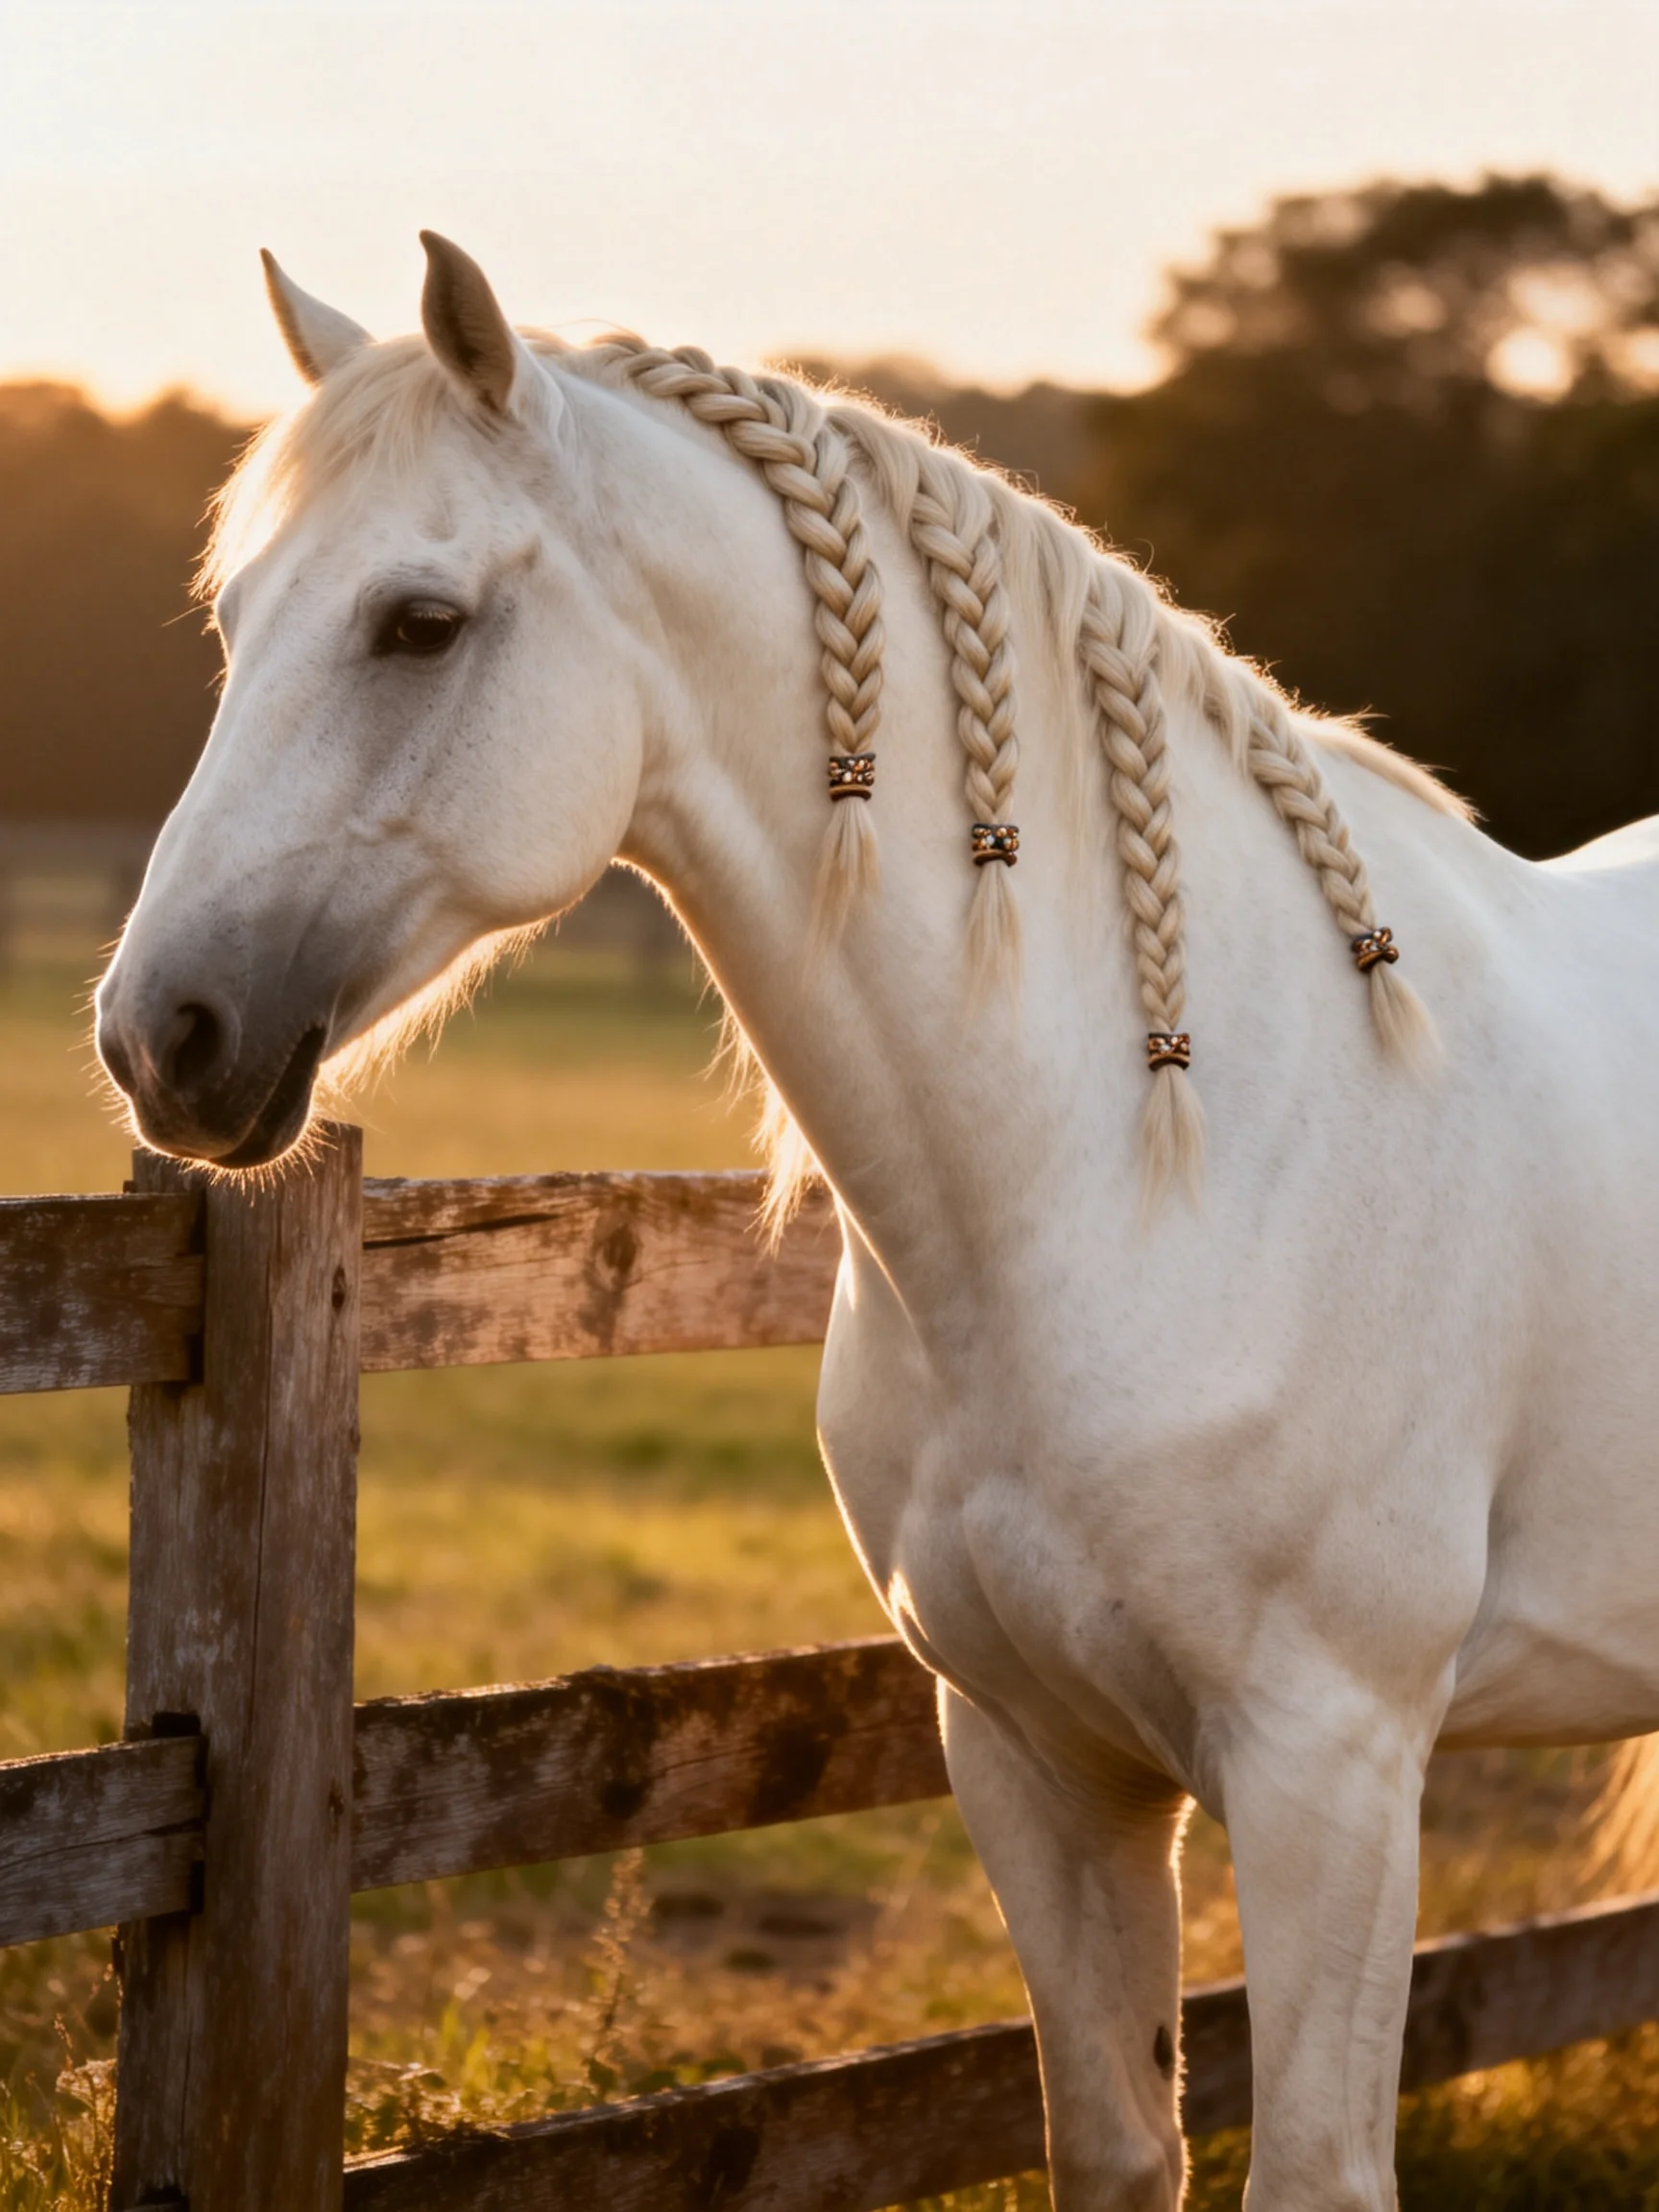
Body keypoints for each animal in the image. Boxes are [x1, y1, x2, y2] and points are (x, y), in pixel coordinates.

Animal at [94, 234, 1659, 2210]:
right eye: (238, 621)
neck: (1157, 1173)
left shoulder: (1336, 1767)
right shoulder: (1034, 1755)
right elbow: (1112, 2144)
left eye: (419, 622)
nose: (160, 1036)